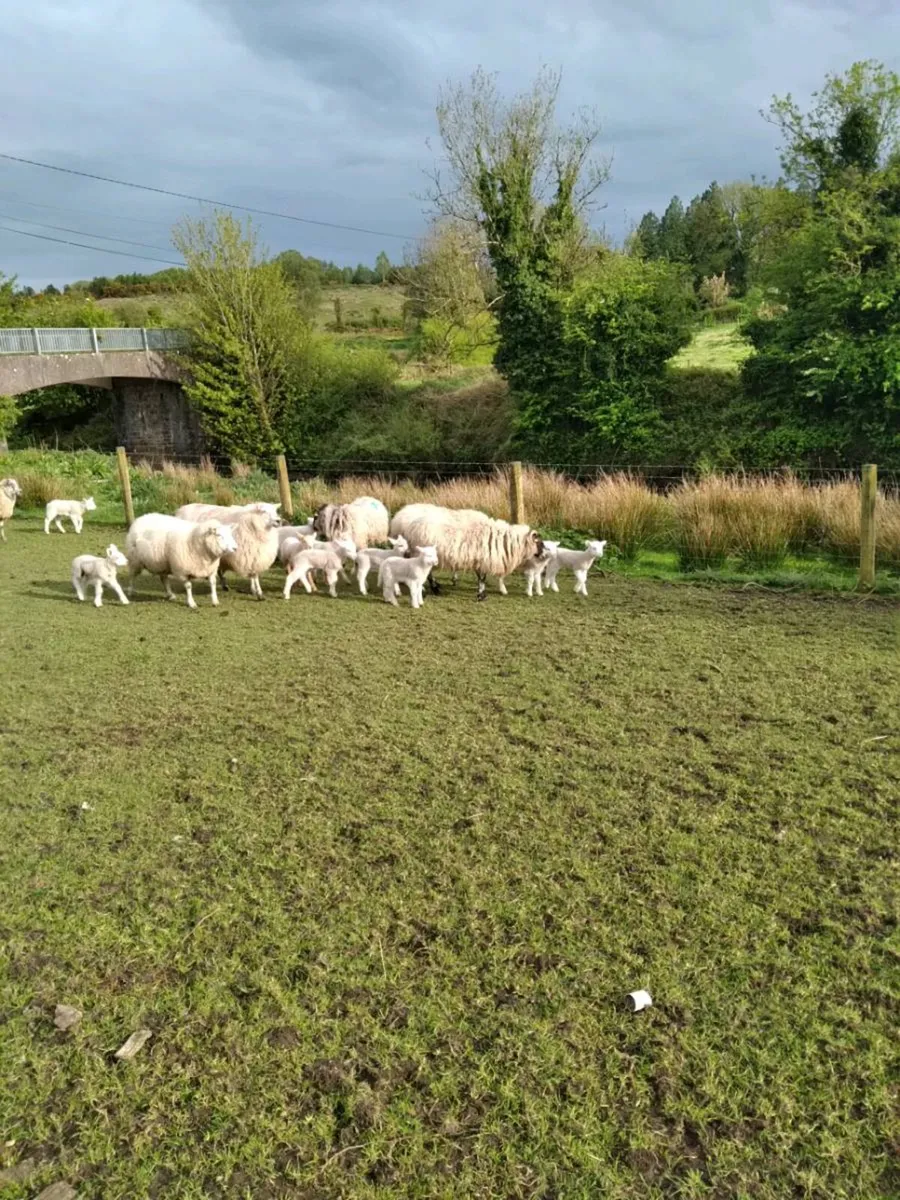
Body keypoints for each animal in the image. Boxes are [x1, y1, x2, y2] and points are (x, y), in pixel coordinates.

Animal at [389, 503, 546, 600]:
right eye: (539, 543)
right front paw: (482, 595)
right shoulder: (483, 560)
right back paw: (430, 589)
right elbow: (482, 578)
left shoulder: (479, 560)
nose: (544, 554)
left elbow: (481, 578)